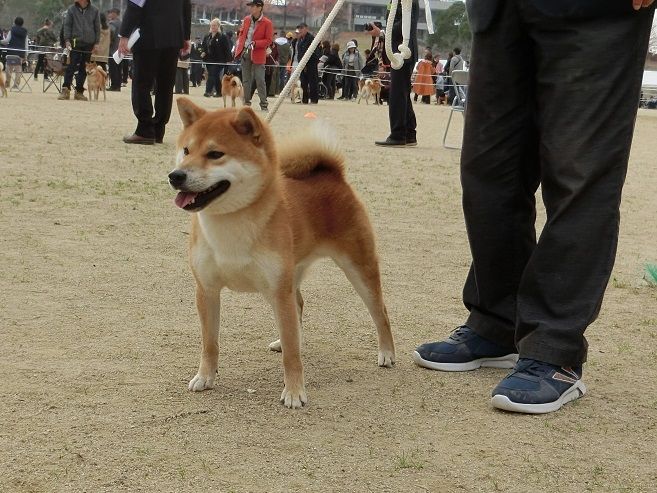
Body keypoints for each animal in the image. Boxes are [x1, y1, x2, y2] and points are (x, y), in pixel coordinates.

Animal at [169, 97, 394, 408]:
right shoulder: (207, 290)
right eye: (186, 150)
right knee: (298, 304)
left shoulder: (278, 290)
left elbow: (292, 354)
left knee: (379, 310)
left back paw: (386, 353)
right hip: (287, 276)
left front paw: (295, 392)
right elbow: (209, 343)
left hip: (356, 268)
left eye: (215, 154)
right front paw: (205, 377)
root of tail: (332, 174)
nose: (175, 176)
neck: (230, 221)